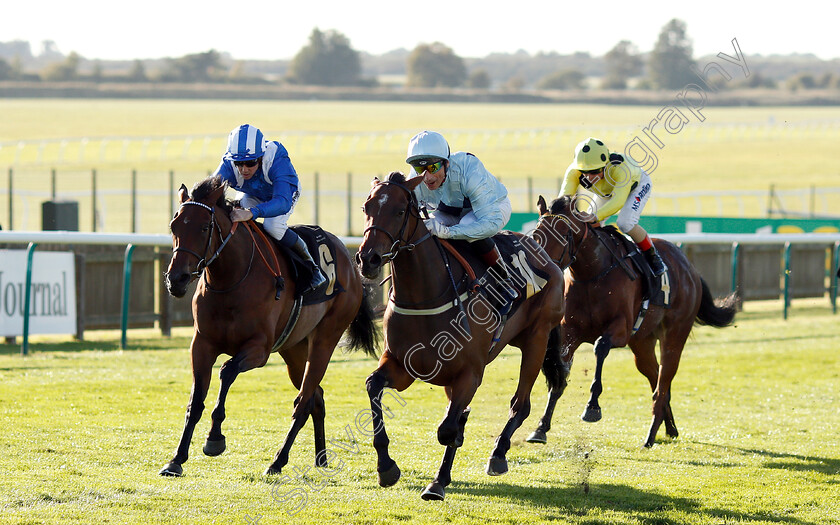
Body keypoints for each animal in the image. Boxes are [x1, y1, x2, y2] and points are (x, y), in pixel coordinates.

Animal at [161, 175, 378, 474]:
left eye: (204, 227)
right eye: (174, 225)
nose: (177, 279)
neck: (231, 280)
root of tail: (350, 263)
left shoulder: (259, 349)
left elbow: (227, 371)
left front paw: (214, 439)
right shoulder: (202, 344)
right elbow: (195, 402)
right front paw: (176, 459)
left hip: (325, 340)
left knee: (303, 401)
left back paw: (278, 460)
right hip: (294, 350)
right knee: (316, 396)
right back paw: (320, 457)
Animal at [354, 172, 564, 500]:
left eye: (400, 211)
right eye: (367, 207)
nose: (369, 259)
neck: (425, 296)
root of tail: (542, 251)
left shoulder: (470, 373)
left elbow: (448, 429)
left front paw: (437, 482)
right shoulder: (403, 367)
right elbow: (373, 386)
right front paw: (386, 467)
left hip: (537, 340)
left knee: (521, 404)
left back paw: (498, 454)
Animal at [532, 194, 736, 448]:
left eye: (563, 233)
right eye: (536, 233)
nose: (543, 269)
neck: (592, 274)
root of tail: (690, 268)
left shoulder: (620, 330)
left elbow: (600, 347)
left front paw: (592, 407)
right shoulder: (570, 331)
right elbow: (559, 372)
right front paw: (541, 427)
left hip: (674, 336)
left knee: (663, 383)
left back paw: (650, 436)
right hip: (642, 344)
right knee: (656, 380)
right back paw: (669, 428)